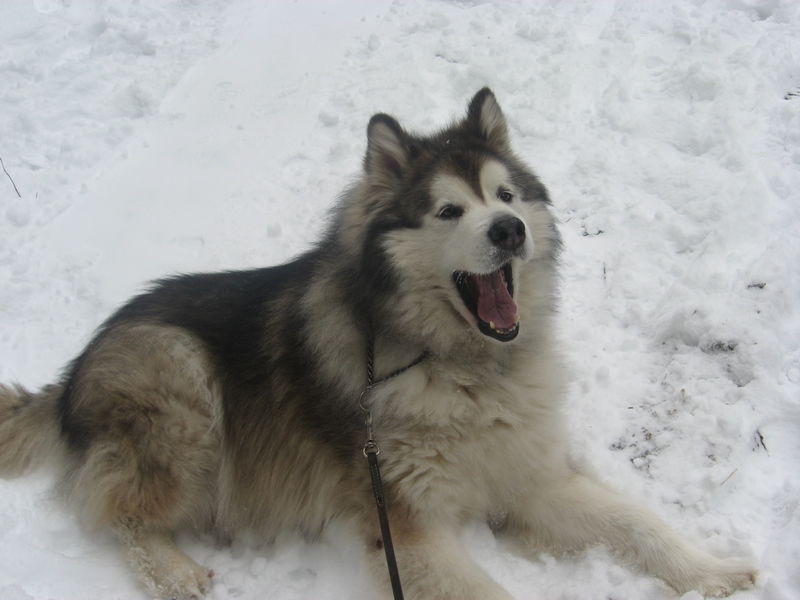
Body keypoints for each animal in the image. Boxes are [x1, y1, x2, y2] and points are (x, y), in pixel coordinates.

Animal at [0, 86, 756, 596]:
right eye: (449, 210)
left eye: (506, 195)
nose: (509, 229)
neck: (467, 367)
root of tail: (72, 375)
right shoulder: (403, 524)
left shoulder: (531, 479)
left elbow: (637, 524)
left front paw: (713, 571)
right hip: (181, 389)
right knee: (118, 514)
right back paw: (177, 571)